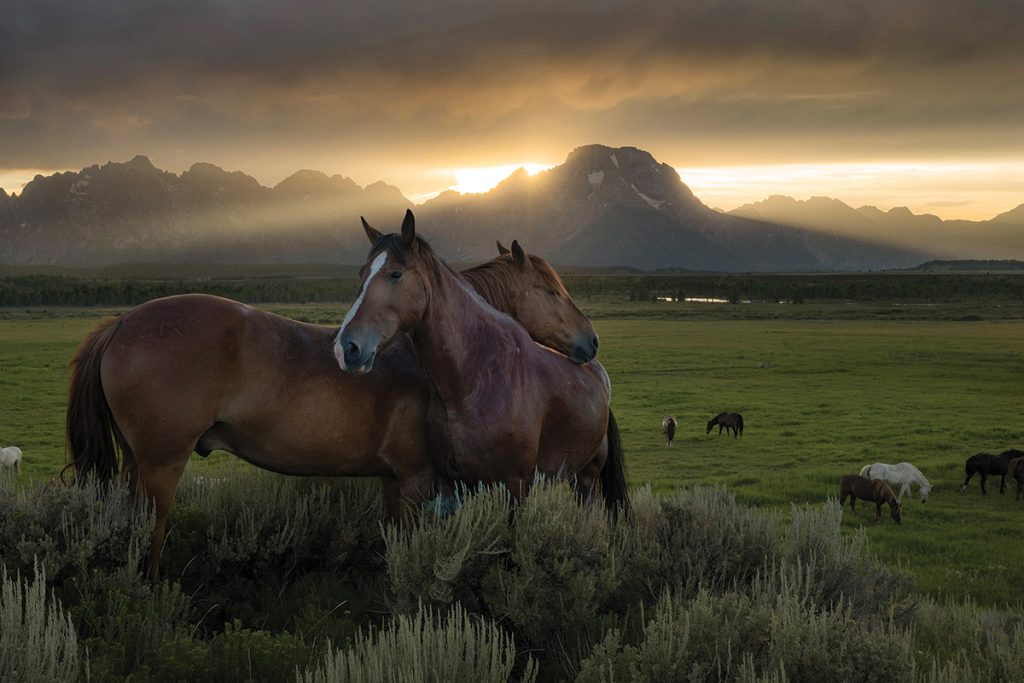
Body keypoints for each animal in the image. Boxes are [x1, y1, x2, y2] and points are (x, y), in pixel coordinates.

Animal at [67, 229, 602, 581]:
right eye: (552, 291)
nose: (591, 341)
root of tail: (121, 322)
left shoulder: (397, 479)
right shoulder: (417, 479)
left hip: (138, 464)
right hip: (162, 465)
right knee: (153, 537)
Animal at [336, 211, 626, 511]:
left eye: (395, 273)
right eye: (552, 291)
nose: (347, 347)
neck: (475, 378)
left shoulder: (515, 483)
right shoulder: (453, 483)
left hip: (586, 478)